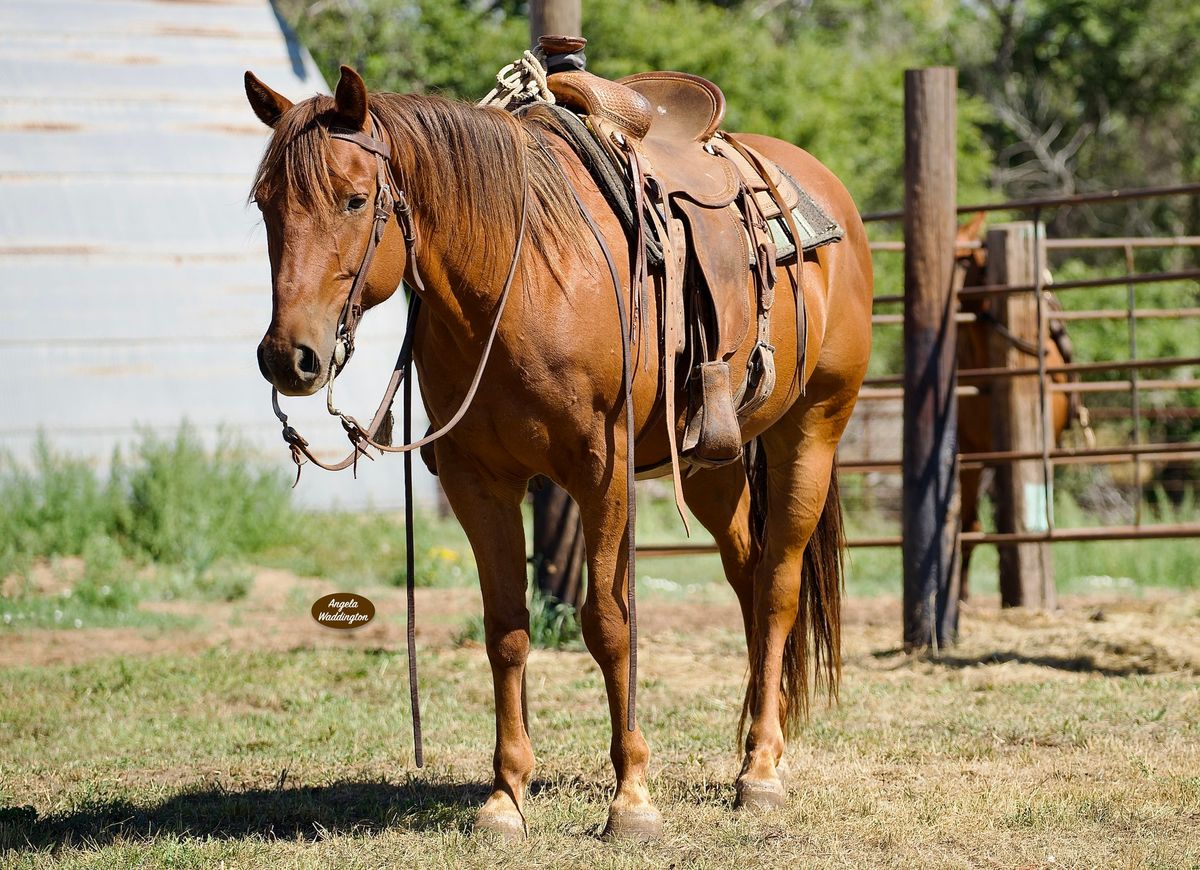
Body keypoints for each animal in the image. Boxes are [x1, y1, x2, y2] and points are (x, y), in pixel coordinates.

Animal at [246, 67, 873, 840]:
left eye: (355, 199)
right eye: (266, 206)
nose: (289, 358)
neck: (519, 283)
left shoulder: (601, 476)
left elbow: (607, 624)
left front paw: (631, 798)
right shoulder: (478, 483)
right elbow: (506, 630)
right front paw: (505, 797)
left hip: (812, 433)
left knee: (779, 587)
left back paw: (759, 772)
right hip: (712, 462)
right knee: (750, 582)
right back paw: (759, 751)